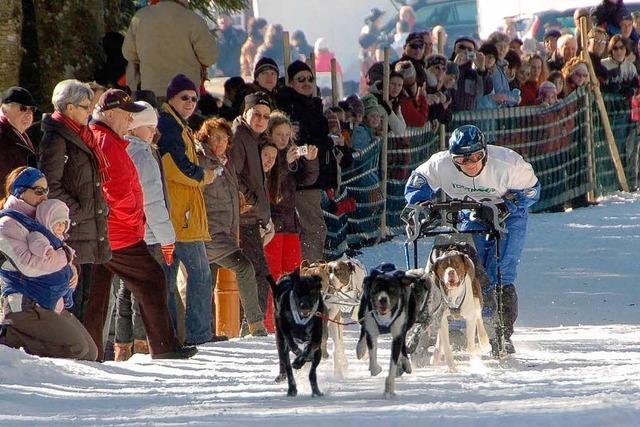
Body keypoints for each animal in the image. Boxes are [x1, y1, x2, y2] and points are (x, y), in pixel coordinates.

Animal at [272, 270, 324, 398]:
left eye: (312, 291)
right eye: (297, 291)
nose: (304, 305)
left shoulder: (316, 339)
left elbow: (308, 350)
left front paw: (300, 360)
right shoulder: (285, 333)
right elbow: (292, 345)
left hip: (318, 350)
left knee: (312, 373)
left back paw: (316, 391)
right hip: (280, 341)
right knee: (287, 366)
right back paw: (291, 388)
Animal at [356, 262, 424, 400]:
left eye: (392, 289)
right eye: (376, 289)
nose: (382, 299)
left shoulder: (397, 335)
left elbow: (393, 364)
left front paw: (389, 389)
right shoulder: (371, 332)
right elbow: (373, 363)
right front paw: (376, 368)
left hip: (409, 320)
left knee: (403, 340)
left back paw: (406, 363)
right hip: (361, 313)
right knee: (362, 328)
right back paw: (360, 349)